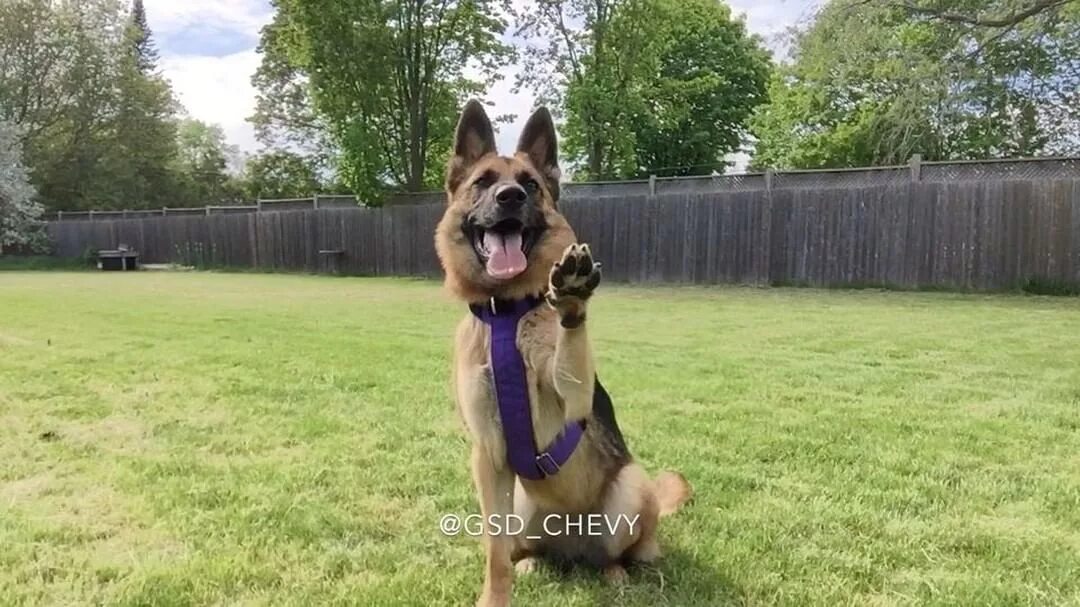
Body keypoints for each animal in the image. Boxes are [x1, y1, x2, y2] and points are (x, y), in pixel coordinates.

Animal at [432, 100, 691, 604]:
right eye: (483, 182)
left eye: (530, 184)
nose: (511, 197)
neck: (508, 314)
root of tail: (570, 542)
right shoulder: (488, 458)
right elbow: (495, 554)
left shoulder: (574, 397)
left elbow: (572, 342)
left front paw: (571, 297)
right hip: (522, 504)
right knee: (523, 548)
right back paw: (533, 560)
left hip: (629, 490)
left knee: (616, 553)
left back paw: (615, 573)